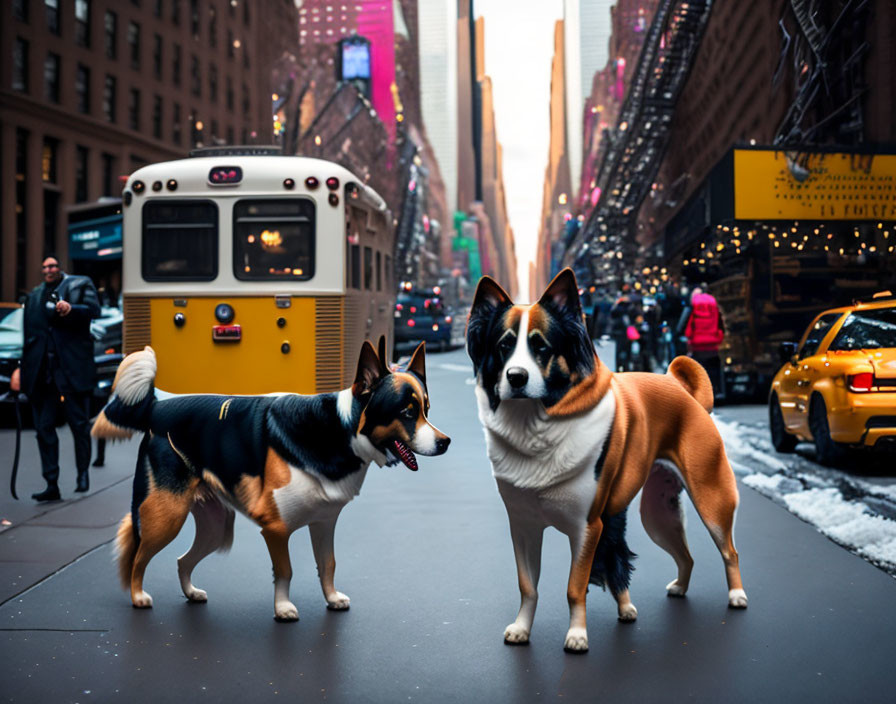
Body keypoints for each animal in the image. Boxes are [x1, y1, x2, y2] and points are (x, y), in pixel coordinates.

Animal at [91, 340, 448, 620]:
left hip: (216, 528)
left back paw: (190, 592)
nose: (446, 442)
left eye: (427, 409)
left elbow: (328, 564)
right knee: (138, 556)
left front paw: (331, 599)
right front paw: (283, 609)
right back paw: (138, 596)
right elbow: (286, 570)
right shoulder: (275, 529)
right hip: (167, 516)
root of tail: (158, 406)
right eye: (407, 412)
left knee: (182, 560)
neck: (339, 429)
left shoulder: (324, 523)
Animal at [466, 270, 744, 656]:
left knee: (729, 550)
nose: (516, 377)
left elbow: (574, 587)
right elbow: (528, 585)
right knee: (684, 556)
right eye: (504, 345)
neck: (535, 425)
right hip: (657, 514)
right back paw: (677, 588)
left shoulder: (587, 528)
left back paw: (736, 595)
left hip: (711, 499)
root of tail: (680, 388)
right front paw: (522, 629)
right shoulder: (523, 526)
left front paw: (577, 635)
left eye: (541, 347)